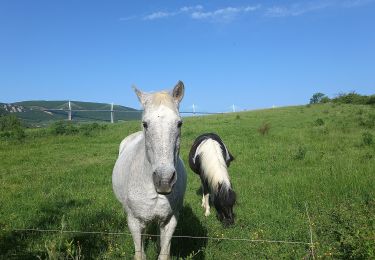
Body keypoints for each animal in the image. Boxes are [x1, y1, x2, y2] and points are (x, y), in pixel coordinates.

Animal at [112, 81, 187, 260]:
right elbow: (139, 253)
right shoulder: (134, 221)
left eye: (179, 123)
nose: (164, 180)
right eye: (145, 124)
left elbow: (164, 253)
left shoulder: (170, 221)